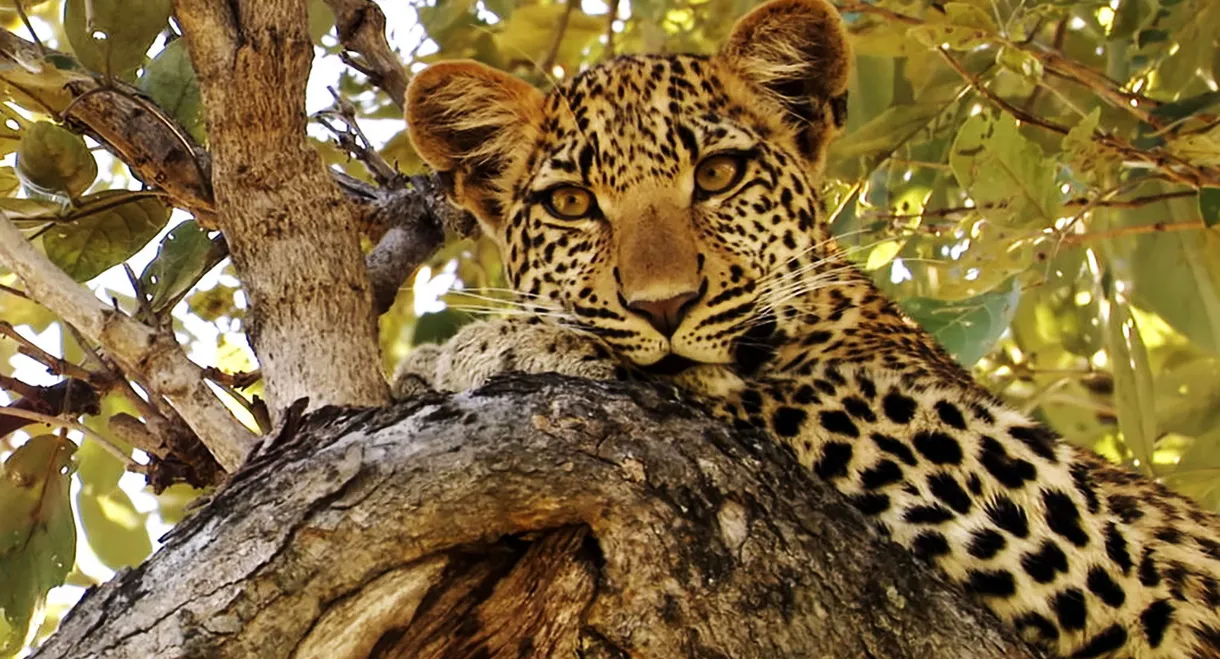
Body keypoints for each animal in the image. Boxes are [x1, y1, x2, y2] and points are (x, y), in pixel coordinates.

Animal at [394, 0, 1220, 655]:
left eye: (719, 175)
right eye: (571, 203)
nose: (664, 306)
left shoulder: (1120, 551)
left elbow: (768, 387)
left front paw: (500, 343)